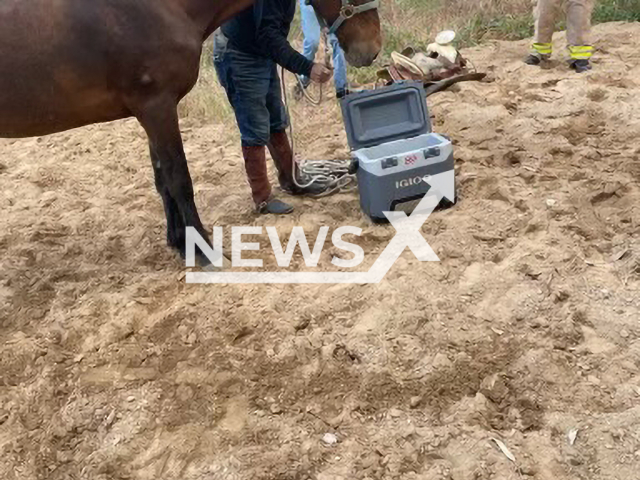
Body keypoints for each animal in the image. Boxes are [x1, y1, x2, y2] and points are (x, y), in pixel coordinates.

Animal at [0, 0, 380, 262]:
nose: (373, 48)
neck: (160, 6)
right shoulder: (157, 106)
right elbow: (179, 178)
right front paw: (202, 250)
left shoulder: (151, 112)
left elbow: (161, 180)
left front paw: (179, 242)